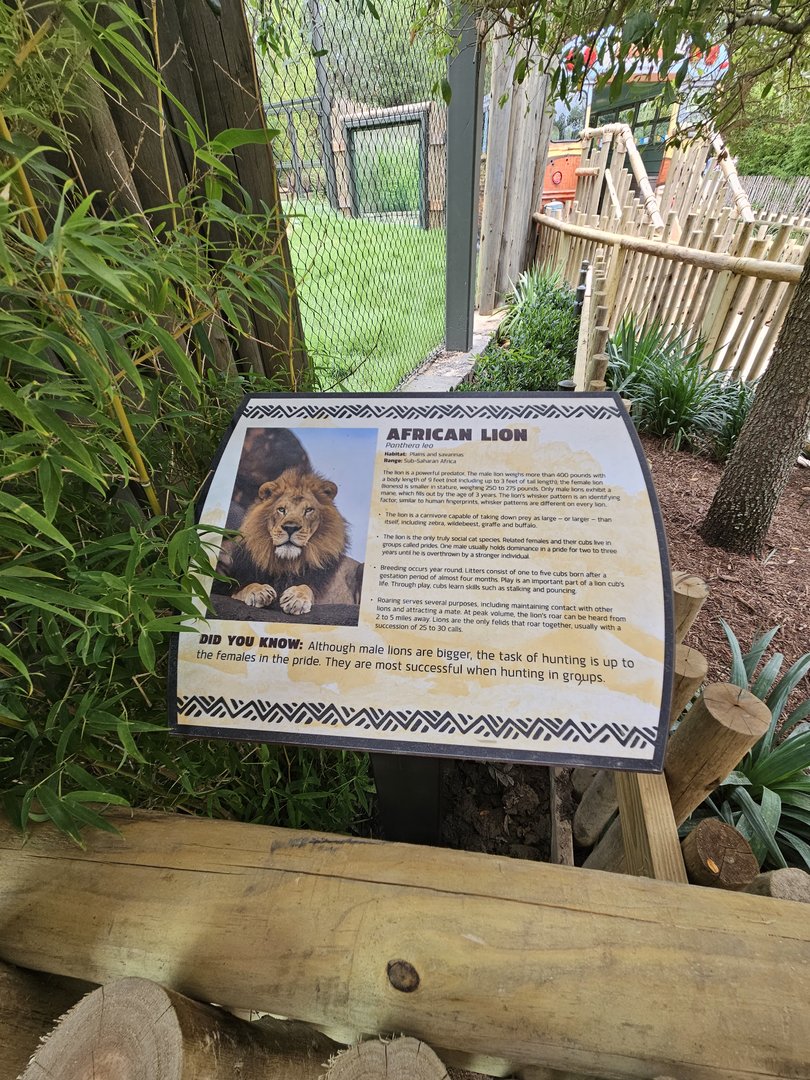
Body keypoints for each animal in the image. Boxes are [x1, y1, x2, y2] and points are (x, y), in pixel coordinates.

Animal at [222, 467, 363, 616]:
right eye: (281, 509)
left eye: (308, 510)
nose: (290, 528)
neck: (287, 563)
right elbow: (243, 588)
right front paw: (259, 591)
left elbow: (306, 586)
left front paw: (296, 599)